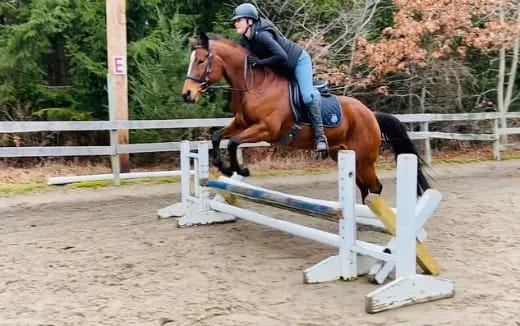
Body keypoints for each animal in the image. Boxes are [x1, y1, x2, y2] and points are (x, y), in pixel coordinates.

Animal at [181, 32, 428, 201]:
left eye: (201, 61)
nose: (186, 94)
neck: (255, 85)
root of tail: (371, 114)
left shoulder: (266, 129)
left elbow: (233, 142)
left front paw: (241, 169)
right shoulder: (242, 123)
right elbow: (217, 136)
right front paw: (223, 167)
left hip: (364, 160)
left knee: (375, 188)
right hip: (345, 156)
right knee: (364, 188)